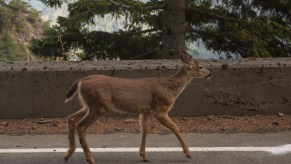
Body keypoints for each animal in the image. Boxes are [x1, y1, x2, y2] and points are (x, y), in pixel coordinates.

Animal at [63, 48, 212, 163]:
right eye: (200, 67)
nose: (210, 74)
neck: (170, 89)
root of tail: (81, 81)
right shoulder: (160, 110)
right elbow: (175, 127)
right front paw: (188, 153)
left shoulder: (145, 111)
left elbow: (145, 130)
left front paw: (144, 156)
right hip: (99, 106)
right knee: (81, 126)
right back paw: (89, 158)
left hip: (90, 105)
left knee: (71, 118)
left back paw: (68, 154)